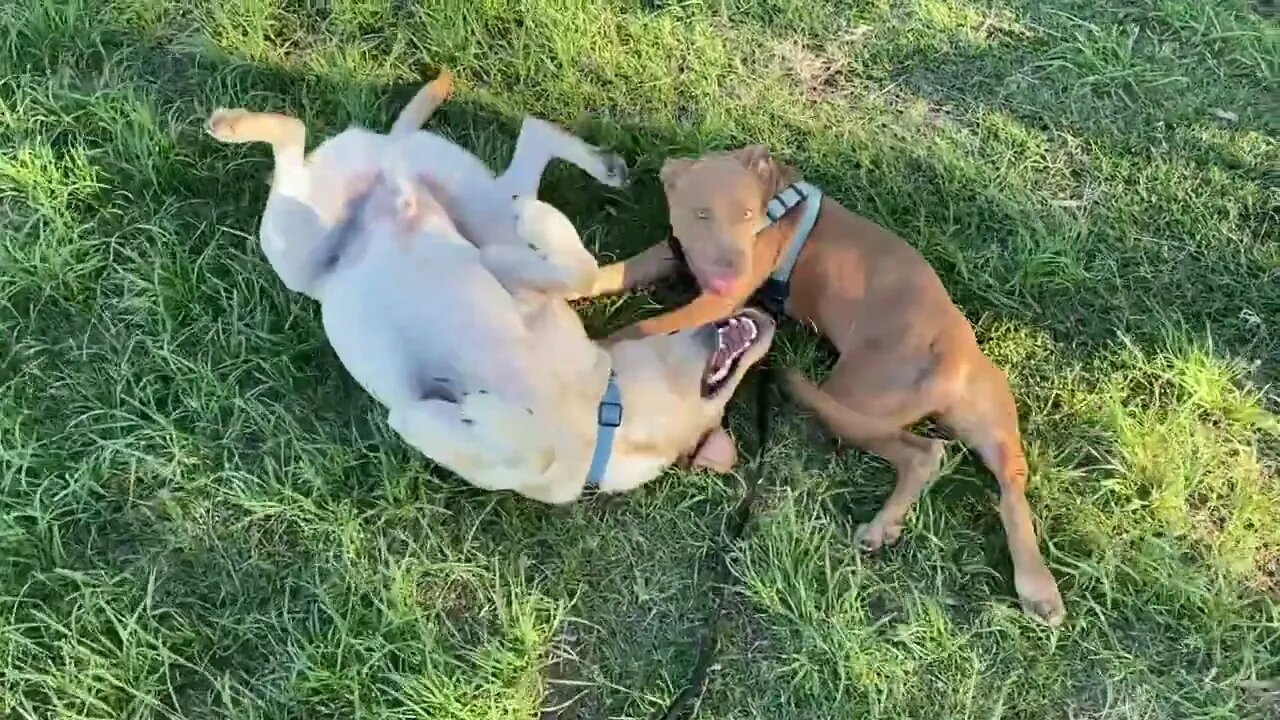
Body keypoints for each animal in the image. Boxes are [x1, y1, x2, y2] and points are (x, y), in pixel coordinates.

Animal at [588, 146, 1070, 622]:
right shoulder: (673, 255)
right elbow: (616, 271)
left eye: (746, 215)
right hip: (990, 424)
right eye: (700, 213)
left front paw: (603, 343)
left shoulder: (718, 301)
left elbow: (646, 327)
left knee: (922, 454)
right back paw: (1036, 587)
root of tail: (952, 360)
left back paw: (884, 525)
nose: (732, 270)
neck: (771, 194)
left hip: (846, 401)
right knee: (1011, 486)